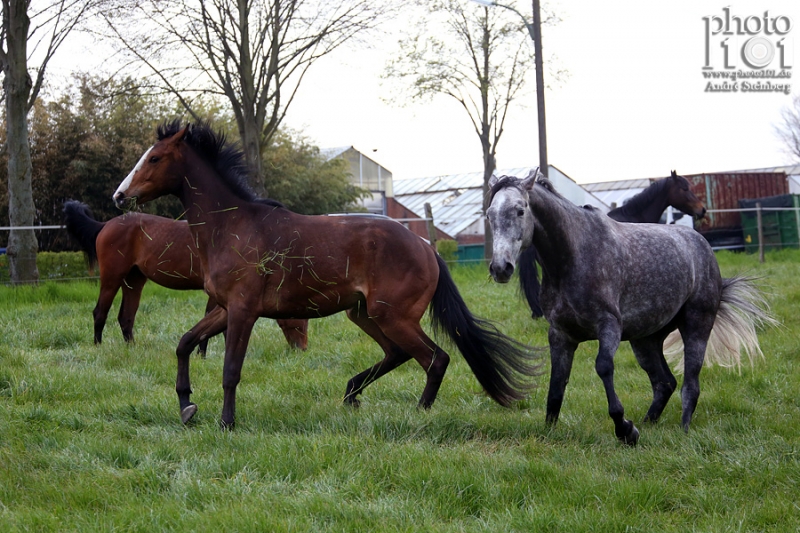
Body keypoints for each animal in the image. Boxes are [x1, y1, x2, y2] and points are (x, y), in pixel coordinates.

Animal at [63, 200, 310, 354]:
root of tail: (105, 225)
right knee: (100, 312)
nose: (302, 349)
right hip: (112, 278)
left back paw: (131, 349)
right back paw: (99, 348)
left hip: (134, 280)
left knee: (126, 317)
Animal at [111, 120, 536, 428]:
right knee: (398, 353)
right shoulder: (224, 308)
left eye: (155, 159)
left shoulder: (243, 311)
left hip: (392, 316)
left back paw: (419, 412)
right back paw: (351, 394)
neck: (231, 226)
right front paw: (187, 405)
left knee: (435, 358)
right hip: (363, 313)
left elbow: (231, 370)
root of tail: (427, 248)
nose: (119, 196)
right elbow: (185, 343)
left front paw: (226, 422)